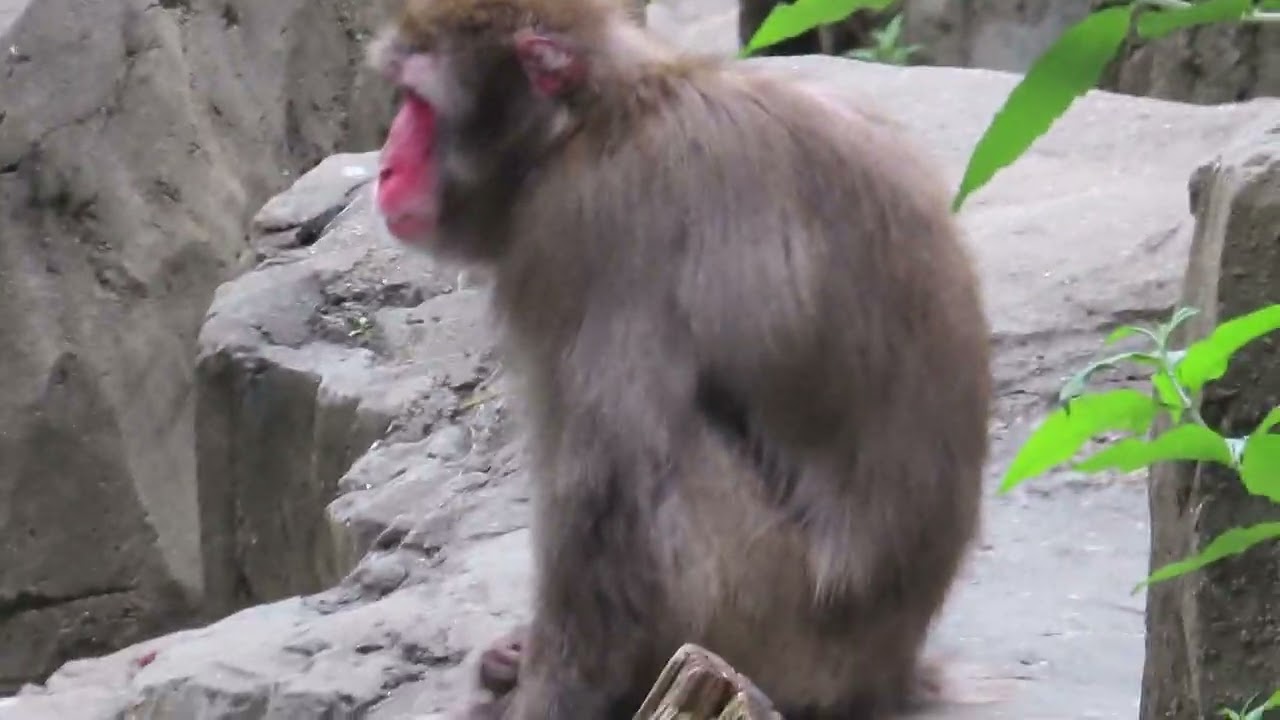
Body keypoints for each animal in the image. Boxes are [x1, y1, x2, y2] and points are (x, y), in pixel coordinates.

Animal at [368, 0, 992, 717]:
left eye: (419, 102)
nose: (385, 168)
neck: (593, 119)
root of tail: (891, 671)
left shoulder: (590, 229)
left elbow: (603, 503)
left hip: (773, 629)